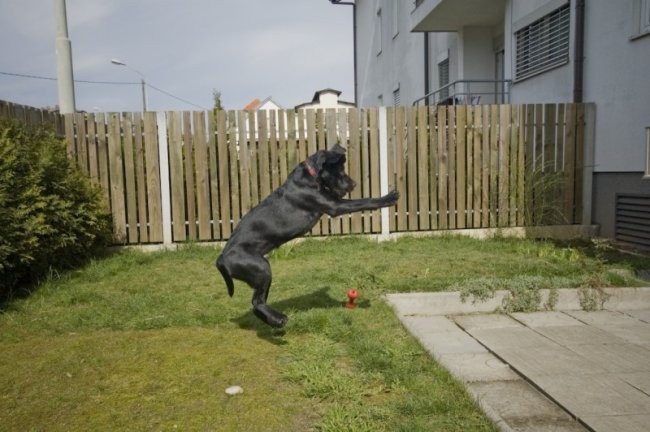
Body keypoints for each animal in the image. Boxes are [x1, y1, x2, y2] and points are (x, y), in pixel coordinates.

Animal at [216, 143, 394, 328]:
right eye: (339, 170)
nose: (353, 184)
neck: (311, 175)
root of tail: (221, 258)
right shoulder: (334, 206)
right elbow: (362, 201)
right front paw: (388, 198)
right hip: (261, 268)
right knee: (257, 302)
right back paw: (278, 320)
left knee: (258, 303)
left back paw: (274, 321)